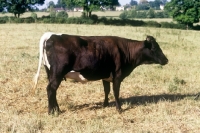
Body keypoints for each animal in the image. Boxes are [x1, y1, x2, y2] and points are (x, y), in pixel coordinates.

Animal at [33, 32, 168, 114]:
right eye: (154, 48)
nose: (166, 60)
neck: (125, 50)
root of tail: (52, 35)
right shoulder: (117, 76)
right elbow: (116, 92)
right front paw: (119, 109)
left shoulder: (106, 76)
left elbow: (106, 90)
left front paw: (105, 104)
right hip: (57, 73)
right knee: (51, 89)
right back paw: (52, 111)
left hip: (51, 73)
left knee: (53, 91)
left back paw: (57, 109)